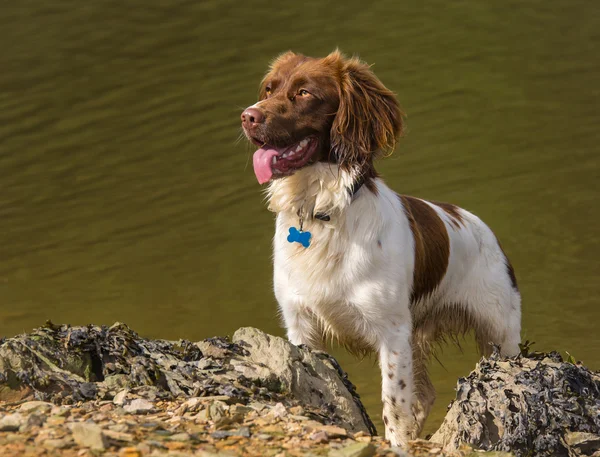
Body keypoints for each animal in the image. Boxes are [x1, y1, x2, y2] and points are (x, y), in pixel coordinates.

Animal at [239, 50, 520, 446]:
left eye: (305, 93)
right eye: (269, 89)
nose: (248, 116)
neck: (322, 213)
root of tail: (479, 225)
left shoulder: (392, 333)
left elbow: (394, 404)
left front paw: (397, 445)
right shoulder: (301, 327)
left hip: (501, 332)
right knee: (425, 394)